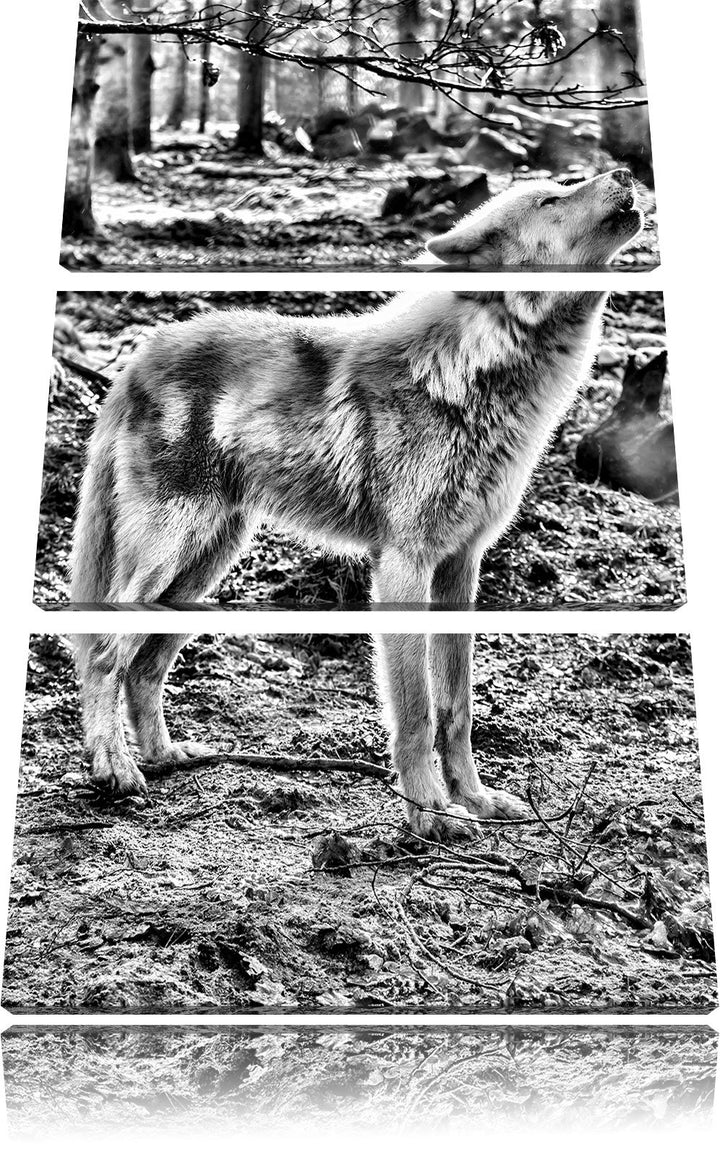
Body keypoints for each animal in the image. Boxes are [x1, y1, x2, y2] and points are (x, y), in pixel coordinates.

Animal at [70, 172, 643, 841]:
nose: (625, 175)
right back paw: (115, 770)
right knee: (105, 656)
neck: (475, 373)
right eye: (553, 198)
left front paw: (474, 800)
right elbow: (418, 715)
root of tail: (138, 356)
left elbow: (458, 709)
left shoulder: (461, 566)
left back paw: (164, 757)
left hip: (203, 570)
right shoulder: (402, 566)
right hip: (170, 557)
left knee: (144, 666)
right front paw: (431, 816)